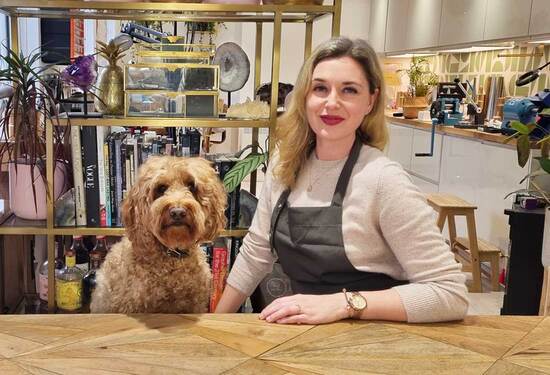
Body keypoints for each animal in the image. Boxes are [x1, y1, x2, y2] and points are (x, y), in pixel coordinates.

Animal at [90, 156, 226, 314]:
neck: (172, 255)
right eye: (161, 188)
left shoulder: (195, 304)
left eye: (191, 186)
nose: (177, 212)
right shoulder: (133, 305)